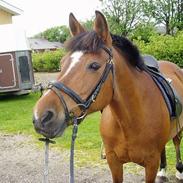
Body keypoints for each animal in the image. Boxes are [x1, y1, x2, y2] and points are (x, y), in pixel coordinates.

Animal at [32, 11, 183, 183]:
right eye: (62, 63)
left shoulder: (151, 164)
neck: (130, 121)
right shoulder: (113, 161)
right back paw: (163, 171)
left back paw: (179, 171)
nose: (41, 116)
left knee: (176, 142)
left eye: (94, 65)